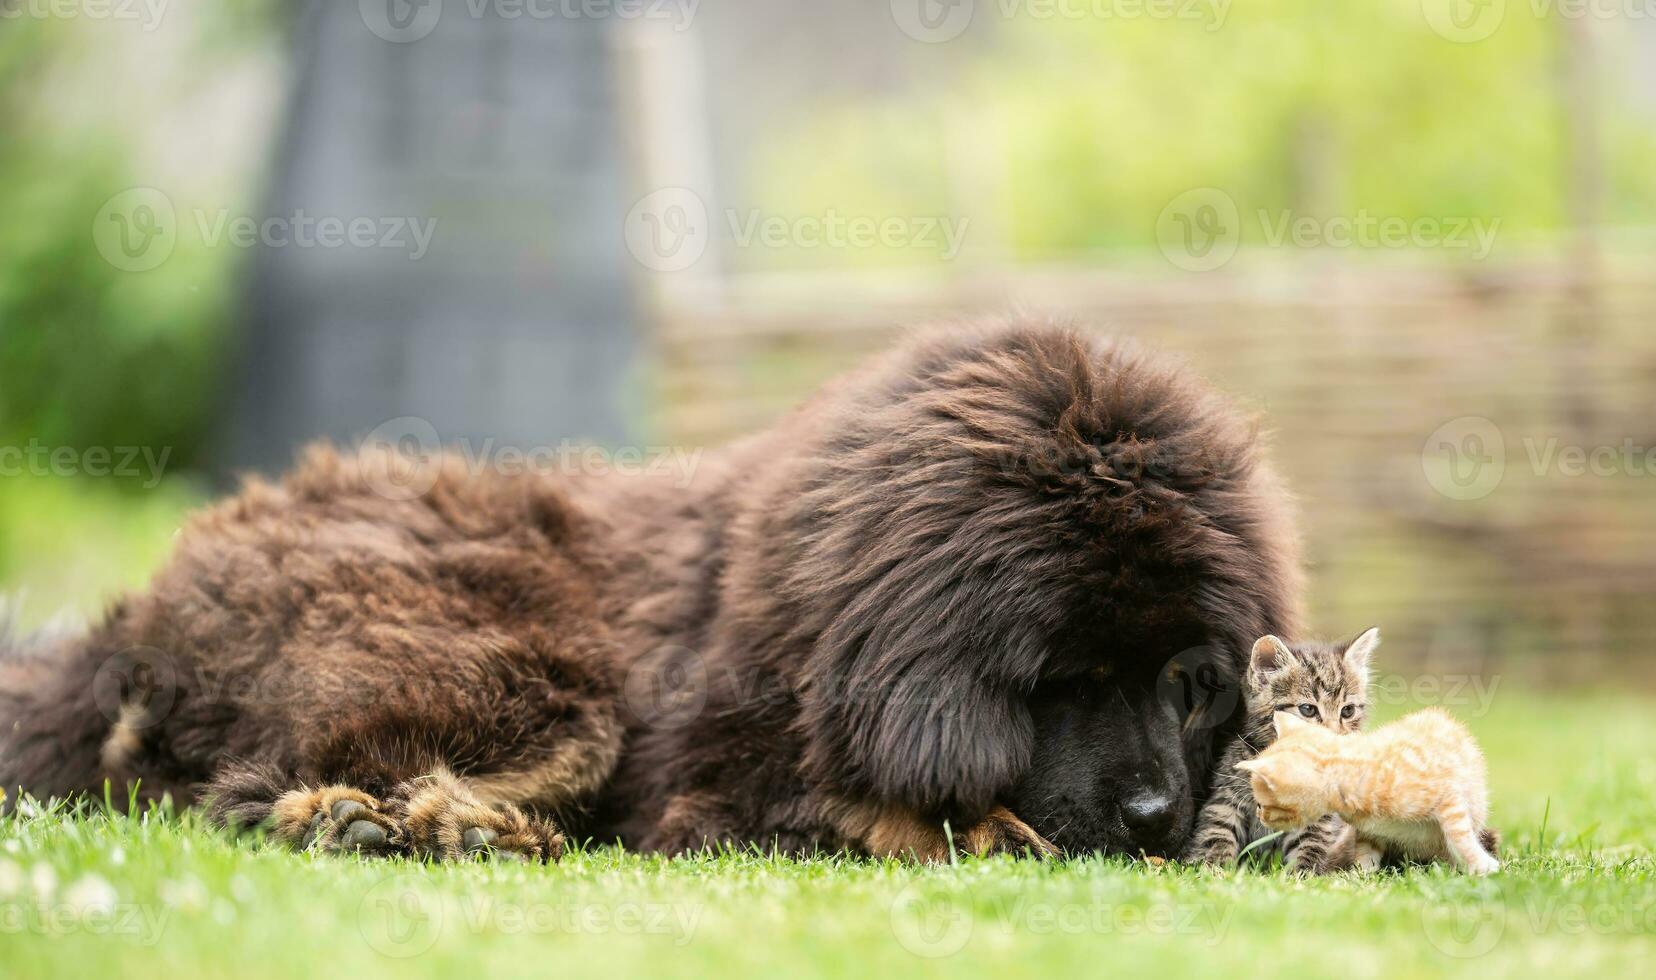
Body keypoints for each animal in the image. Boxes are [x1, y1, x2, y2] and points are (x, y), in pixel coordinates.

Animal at [0, 319, 1298, 860]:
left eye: (1189, 683)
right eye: (1066, 676)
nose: (1155, 816)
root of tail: (130, 620)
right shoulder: (707, 774)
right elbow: (846, 807)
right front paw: (974, 821)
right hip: (537, 673)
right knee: (239, 789)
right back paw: (385, 820)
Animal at [1185, 632, 1377, 867]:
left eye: (1348, 711)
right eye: (1308, 709)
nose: (1334, 739)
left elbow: (1310, 844)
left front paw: (1305, 872)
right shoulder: (1226, 797)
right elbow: (1217, 831)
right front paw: (1214, 865)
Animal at [1245, 708, 1503, 874]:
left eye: (1261, 804)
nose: (1258, 815)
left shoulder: (1448, 795)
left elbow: (1459, 834)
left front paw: (1482, 865)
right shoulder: (1368, 831)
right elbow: (1365, 853)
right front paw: (1359, 877)